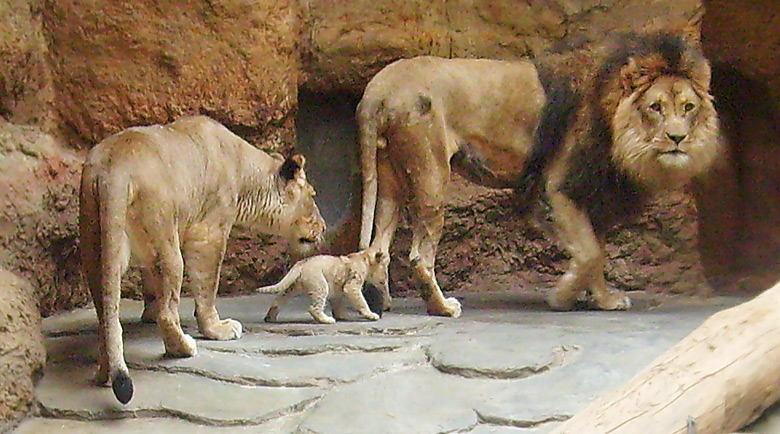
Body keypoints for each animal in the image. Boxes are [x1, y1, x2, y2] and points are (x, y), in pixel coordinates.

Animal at [82, 115, 330, 404]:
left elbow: (150, 287)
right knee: (167, 313)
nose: (324, 227)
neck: (245, 174)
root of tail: (114, 169)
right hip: (167, 245)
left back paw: (104, 371)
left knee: (107, 316)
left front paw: (148, 312)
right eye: (312, 196)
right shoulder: (210, 231)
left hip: (96, 247)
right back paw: (184, 348)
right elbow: (208, 285)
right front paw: (216, 328)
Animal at [356, 30, 724, 316]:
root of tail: (380, 87)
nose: (678, 138)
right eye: (655, 107)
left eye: (688, 107)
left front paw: (603, 300)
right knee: (419, 255)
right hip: (431, 173)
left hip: (389, 175)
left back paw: (383, 302)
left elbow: (596, 251)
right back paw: (443, 307)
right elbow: (590, 254)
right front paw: (561, 297)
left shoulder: (582, 194)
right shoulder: (557, 187)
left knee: (378, 249)